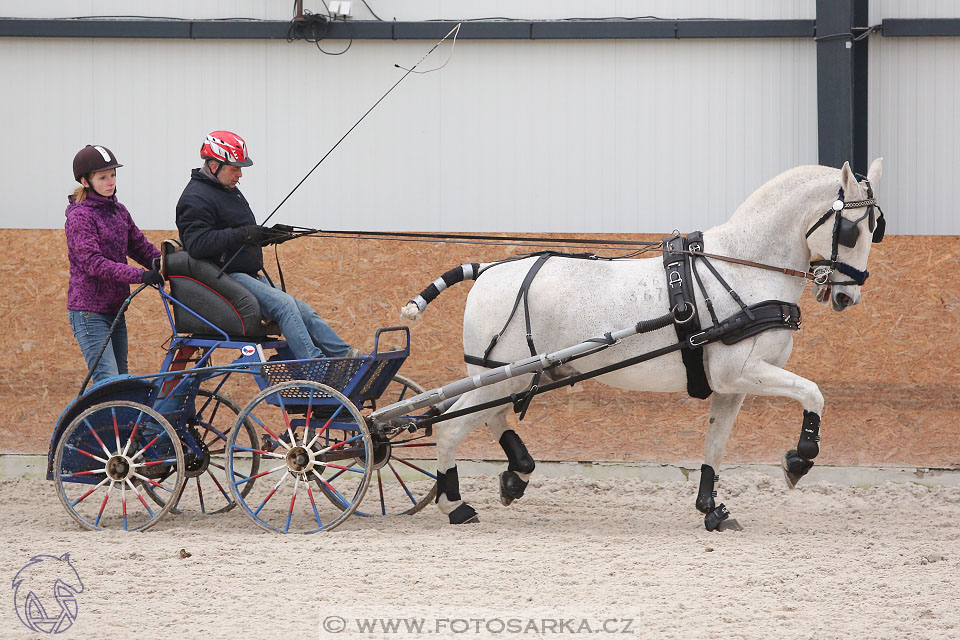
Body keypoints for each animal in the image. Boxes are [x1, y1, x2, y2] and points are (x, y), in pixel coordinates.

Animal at [398, 160, 884, 528]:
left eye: (876, 228)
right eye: (853, 231)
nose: (847, 296)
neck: (745, 266)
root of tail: (489, 270)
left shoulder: (731, 385)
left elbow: (716, 445)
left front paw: (712, 510)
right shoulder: (742, 371)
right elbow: (813, 393)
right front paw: (799, 460)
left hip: (510, 378)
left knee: (489, 418)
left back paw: (516, 474)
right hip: (498, 378)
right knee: (450, 427)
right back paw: (455, 503)